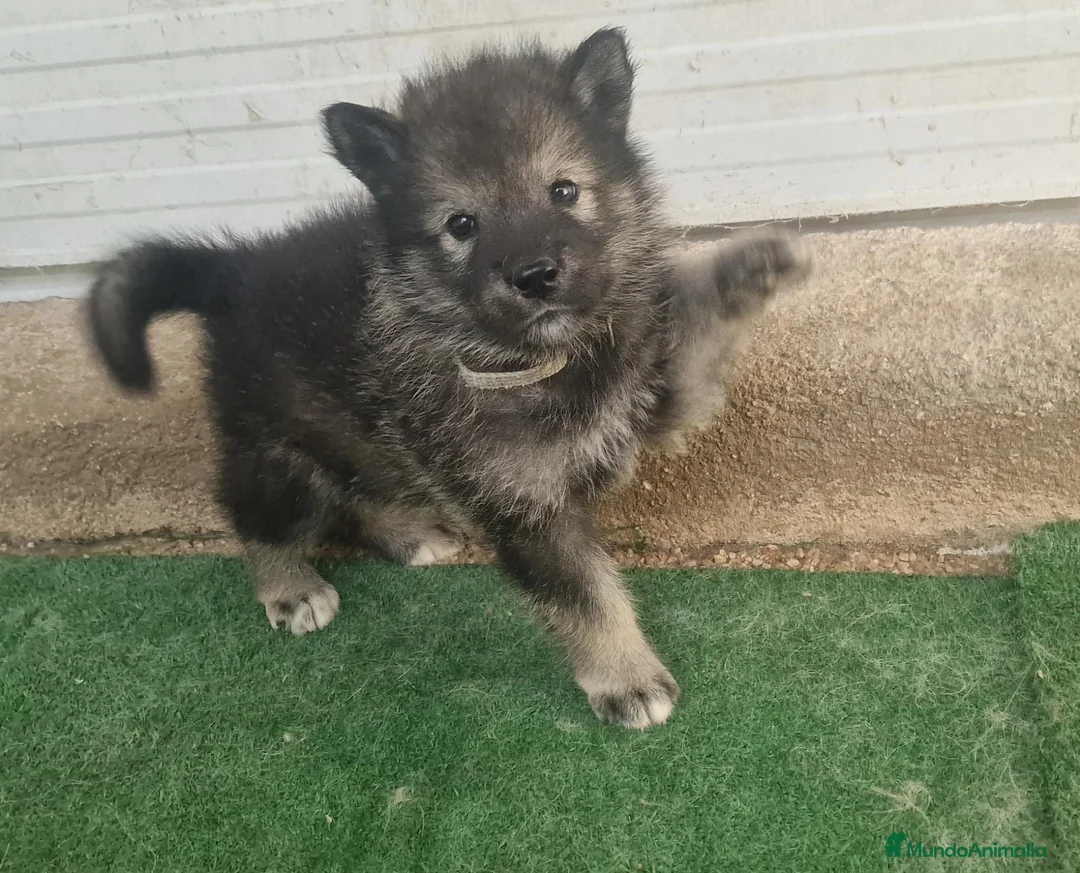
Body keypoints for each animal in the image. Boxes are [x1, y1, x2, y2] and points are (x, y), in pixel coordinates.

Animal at [86, 28, 811, 729]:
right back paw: (289, 586)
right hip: (276, 447)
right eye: (462, 224)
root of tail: (234, 271)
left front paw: (746, 264)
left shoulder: (657, 400)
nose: (535, 275)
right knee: (256, 512)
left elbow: (687, 325)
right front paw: (624, 678)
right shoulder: (524, 508)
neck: (544, 359)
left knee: (356, 486)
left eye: (564, 190)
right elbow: (584, 596)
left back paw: (407, 534)